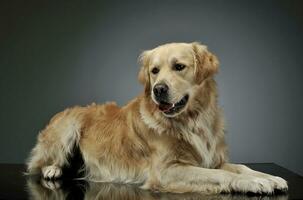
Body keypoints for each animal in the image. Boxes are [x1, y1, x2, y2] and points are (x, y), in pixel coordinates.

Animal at [26, 42, 290, 194]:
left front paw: (270, 178)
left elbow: (241, 167)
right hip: (68, 126)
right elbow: (222, 175)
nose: (158, 89)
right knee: (40, 163)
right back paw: (53, 169)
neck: (192, 120)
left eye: (179, 67)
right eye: (154, 71)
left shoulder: (212, 159)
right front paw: (255, 183)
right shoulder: (167, 170)